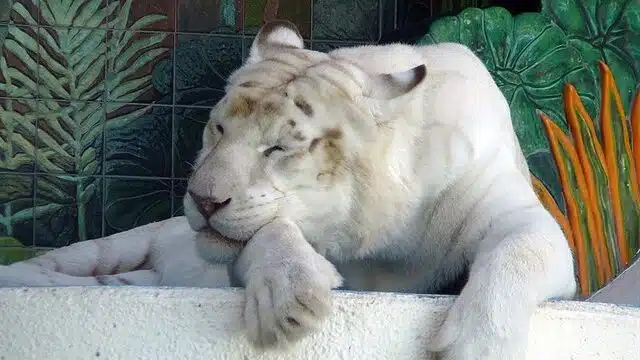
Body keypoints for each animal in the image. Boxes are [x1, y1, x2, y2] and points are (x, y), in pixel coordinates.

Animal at [0, 21, 576, 360]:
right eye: (218, 130)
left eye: (278, 148)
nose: (202, 200)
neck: (384, 237)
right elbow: (270, 232)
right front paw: (291, 296)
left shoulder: (515, 212)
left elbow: (522, 250)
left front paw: (482, 346)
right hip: (111, 247)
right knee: (48, 269)